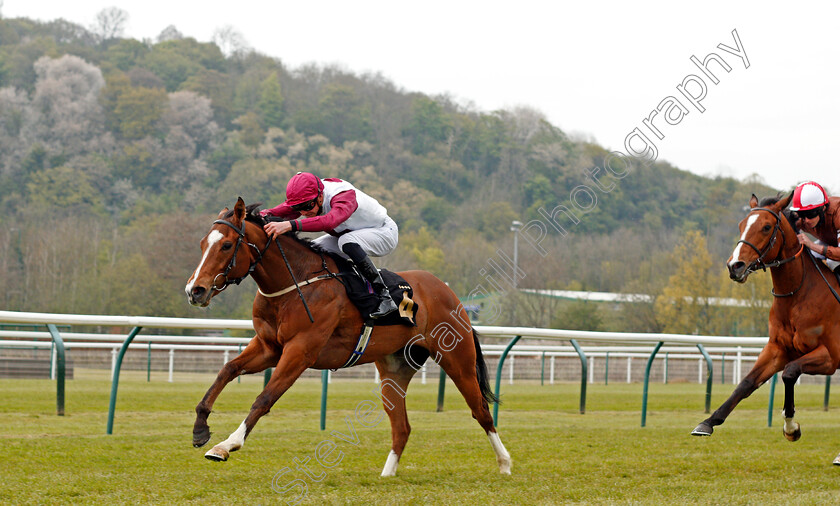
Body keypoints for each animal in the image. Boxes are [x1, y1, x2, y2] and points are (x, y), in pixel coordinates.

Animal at [185, 197, 512, 474]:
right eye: (202, 244)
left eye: (227, 245)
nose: (195, 290)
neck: (295, 283)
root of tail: (447, 291)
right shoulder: (268, 347)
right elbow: (227, 370)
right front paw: (200, 427)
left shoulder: (300, 351)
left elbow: (264, 398)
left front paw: (227, 445)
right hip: (394, 370)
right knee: (402, 427)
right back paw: (386, 475)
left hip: (457, 359)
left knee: (481, 411)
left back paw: (505, 464)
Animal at [692, 195, 840, 466]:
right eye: (741, 225)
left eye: (766, 227)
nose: (735, 265)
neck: (797, 295)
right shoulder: (777, 349)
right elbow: (746, 383)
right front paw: (708, 422)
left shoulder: (831, 357)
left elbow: (790, 373)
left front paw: (791, 427)